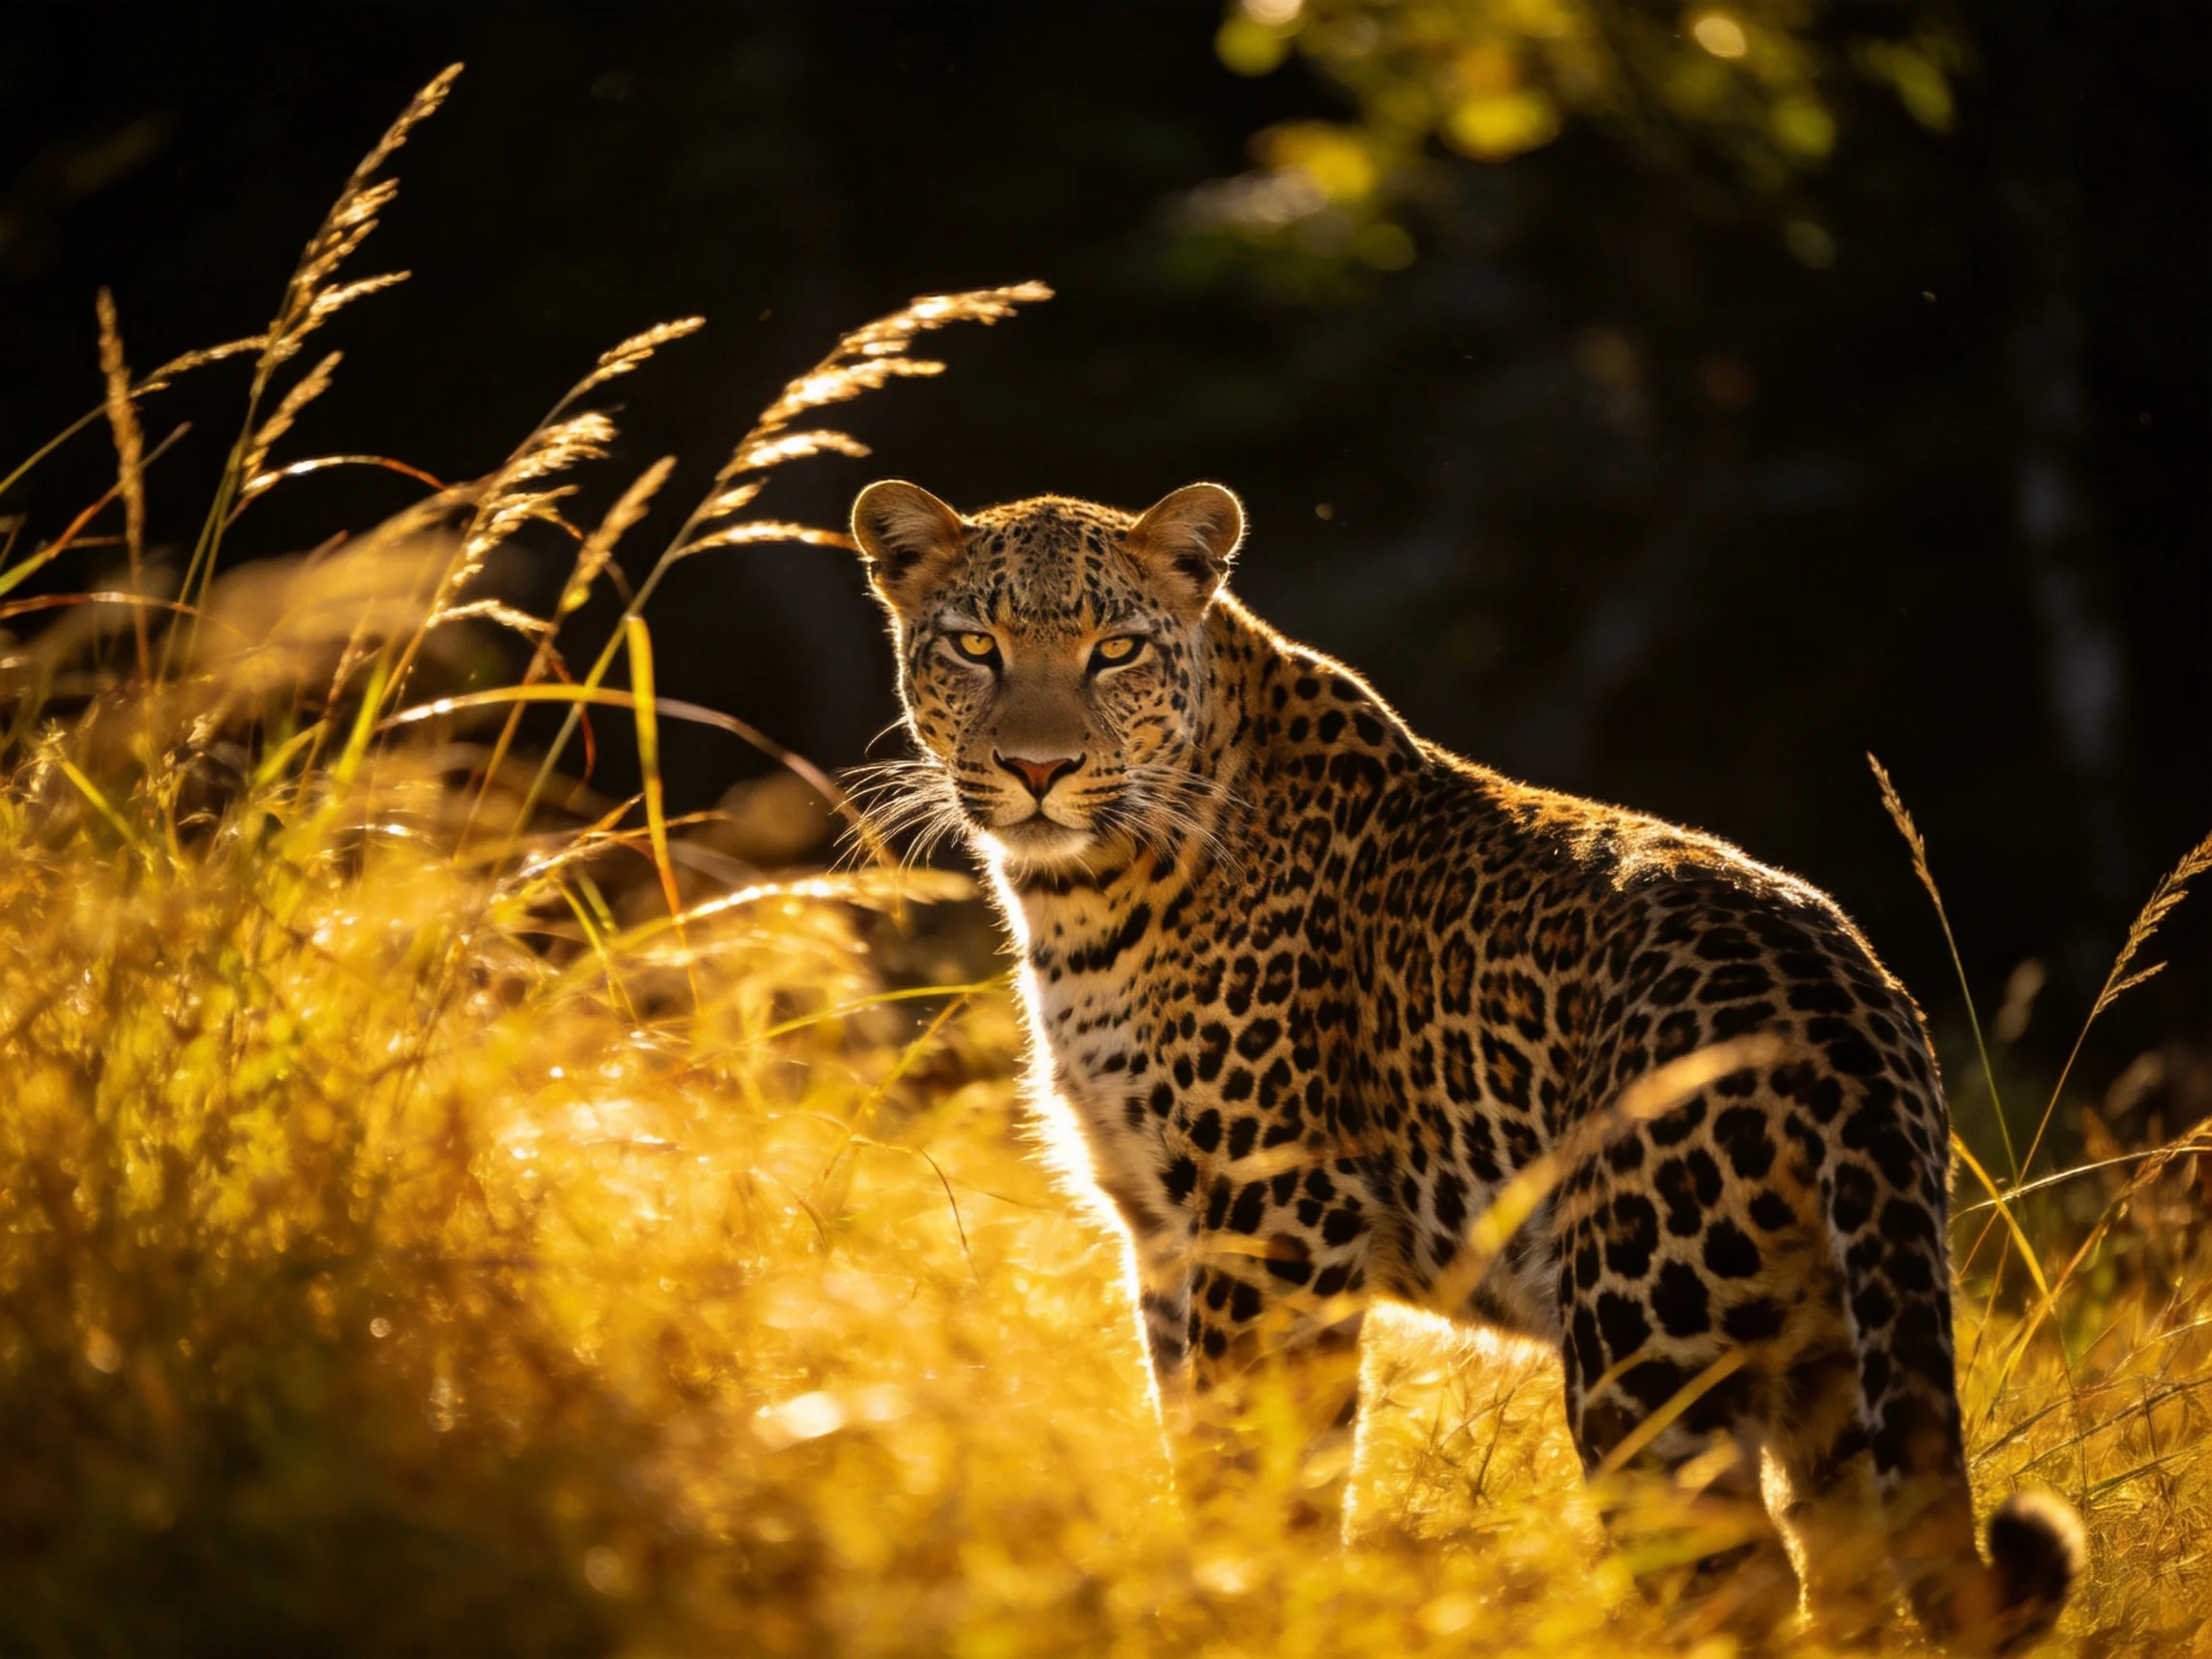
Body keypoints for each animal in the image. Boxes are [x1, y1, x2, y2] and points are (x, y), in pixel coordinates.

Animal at [848, 477, 2084, 1651]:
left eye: (1116, 651)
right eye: (974, 646)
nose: (1039, 767)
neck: (1080, 892)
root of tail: (1849, 1014)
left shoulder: (1279, 1219)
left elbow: (1270, 1474)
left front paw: (1247, 1609)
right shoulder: (1159, 1231)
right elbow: (1194, 1448)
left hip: (1644, 1349)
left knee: (1741, 1591)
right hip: (1835, 1358)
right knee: (1853, 1574)